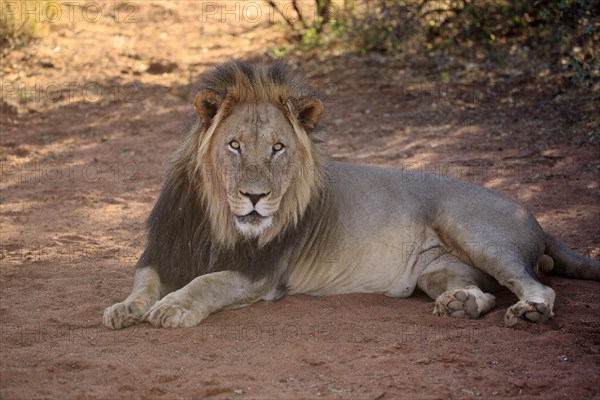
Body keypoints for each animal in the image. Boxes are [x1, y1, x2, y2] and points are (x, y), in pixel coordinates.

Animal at [103, 59, 600, 328]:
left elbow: (206, 282)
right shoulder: (161, 252)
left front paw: (172, 307)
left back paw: (530, 312)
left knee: (537, 286)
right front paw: (124, 309)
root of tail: (531, 213)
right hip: (437, 271)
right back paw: (460, 304)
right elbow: (142, 283)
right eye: (234, 146)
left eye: (278, 148)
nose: (255, 198)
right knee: (484, 294)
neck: (216, 217)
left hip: (473, 231)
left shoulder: (259, 273)